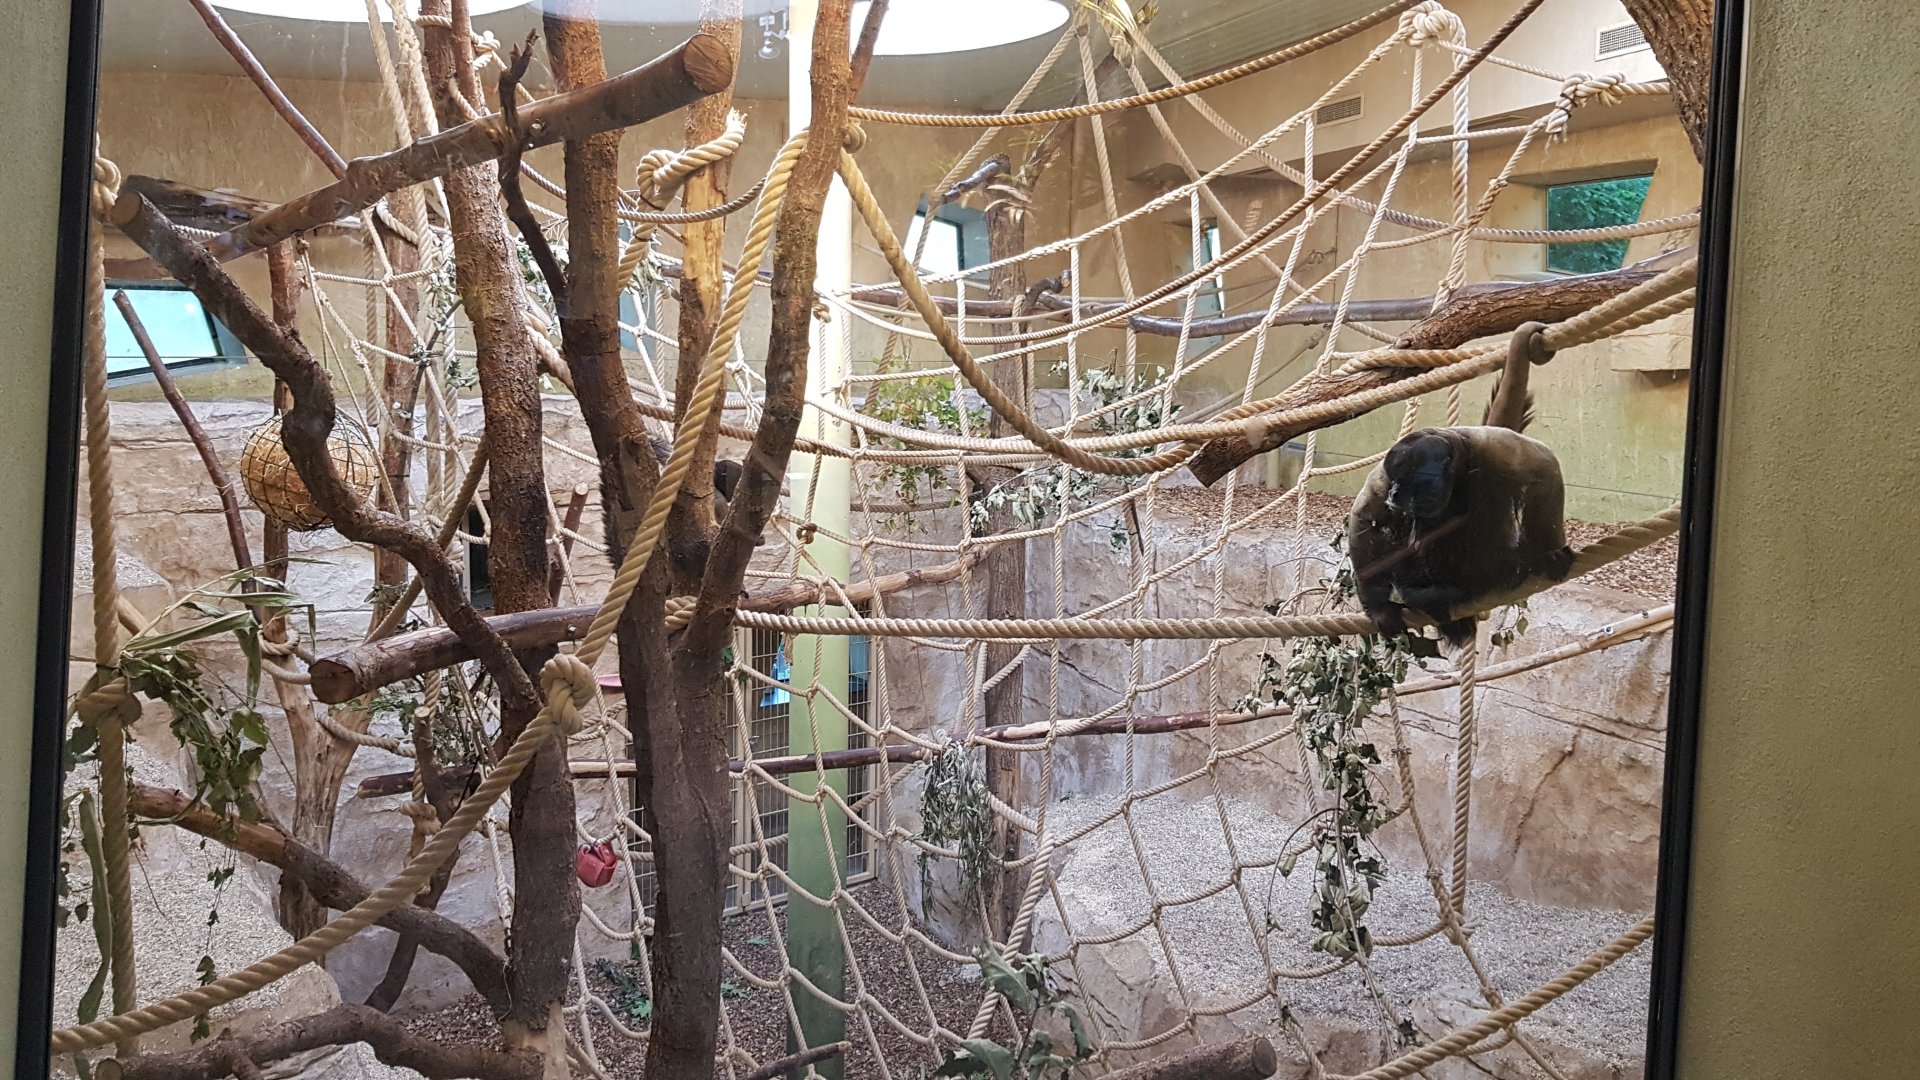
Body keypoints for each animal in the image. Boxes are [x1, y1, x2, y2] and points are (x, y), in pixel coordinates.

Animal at [1345, 322, 1573, 645]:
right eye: (1396, 483)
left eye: (1410, 485)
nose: (1395, 493)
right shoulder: (1383, 474)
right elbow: (1367, 517)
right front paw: (1379, 608)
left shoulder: (1491, 448)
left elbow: (1545, 468)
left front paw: (1549, 553)